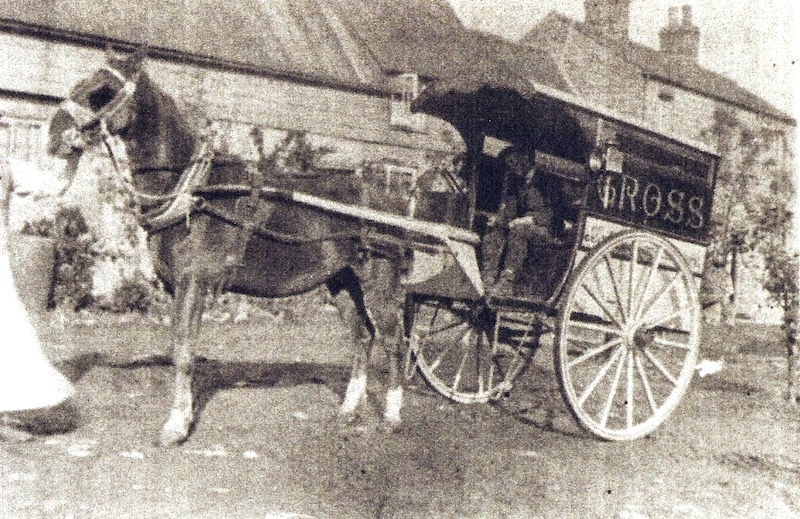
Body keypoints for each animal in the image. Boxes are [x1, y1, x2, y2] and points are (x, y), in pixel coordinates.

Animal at [47, 45, 410, 446]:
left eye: (103, 91)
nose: (54, 132)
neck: (192, 189)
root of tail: (389, 201)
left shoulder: (194, 283)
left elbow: (184, 351)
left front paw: (176, 426)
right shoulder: (177, 287)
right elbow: (180, 349)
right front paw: (184, 415)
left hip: (378, 283)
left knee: (395, 342)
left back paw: (392, 417)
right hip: (342, 283)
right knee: (362, 339)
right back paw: (348, 411)